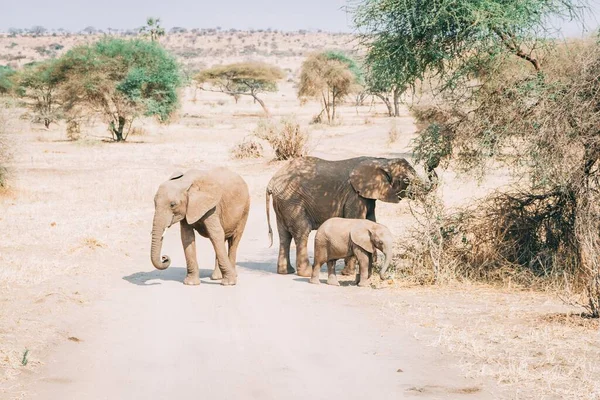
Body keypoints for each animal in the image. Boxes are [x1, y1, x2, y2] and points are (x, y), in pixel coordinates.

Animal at [264, 156, 424, 278]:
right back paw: (306, 273)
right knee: (302, 232)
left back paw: (285, 272)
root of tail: (271, 182)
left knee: (284, 235)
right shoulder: (354, 195)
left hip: (283, 203)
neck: (381, 161)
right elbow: (355, 221)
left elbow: (371, 220)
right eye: (406, 180)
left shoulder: (367, 195)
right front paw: (348, 273)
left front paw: (371, 266)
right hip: (292, 201)